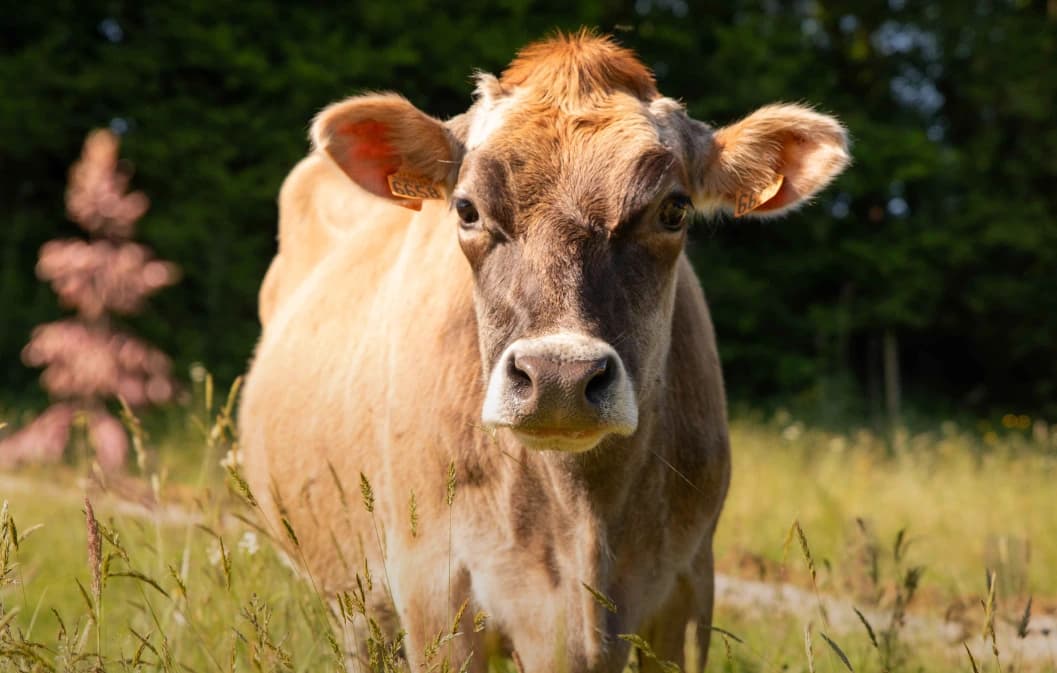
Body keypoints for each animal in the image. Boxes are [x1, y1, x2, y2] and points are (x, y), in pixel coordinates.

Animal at [239, 31, 849, 673]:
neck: (581, 519)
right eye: (466, 208)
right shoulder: (432, 586)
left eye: (674, 209)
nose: (560, 377)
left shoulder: (687, 590)